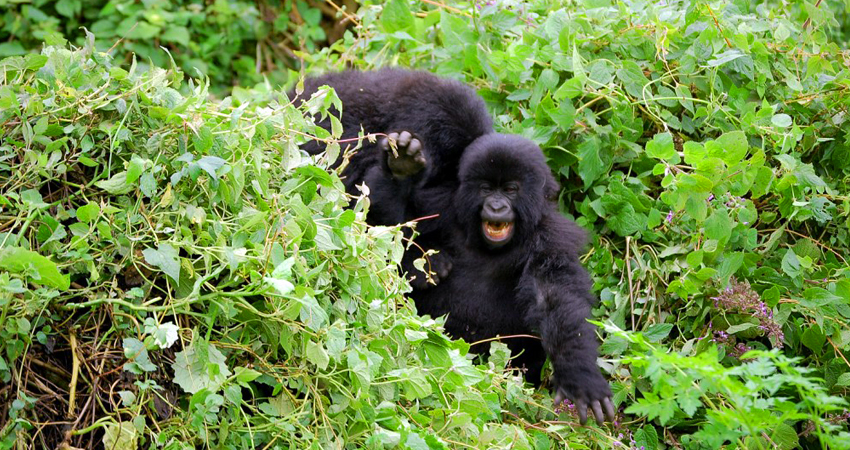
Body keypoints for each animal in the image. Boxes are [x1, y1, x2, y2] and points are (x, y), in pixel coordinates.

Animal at [410, 134, 612, 426]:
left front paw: (580, 375)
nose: (496, 206)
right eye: (486, 189)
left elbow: (554, 298)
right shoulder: (439, 207)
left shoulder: (551, 237)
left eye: (510, 190)